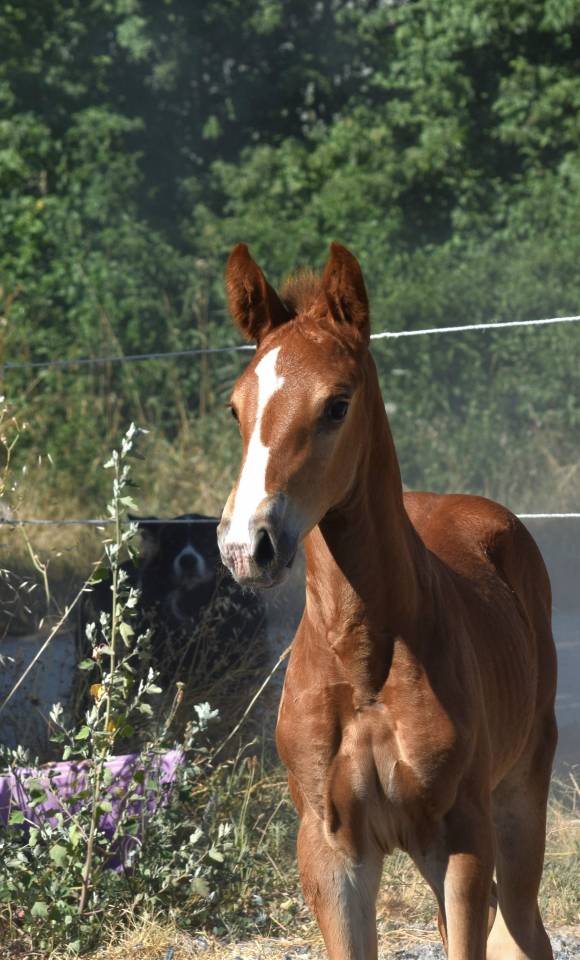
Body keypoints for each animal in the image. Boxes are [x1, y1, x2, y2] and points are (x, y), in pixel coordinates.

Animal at [217, 242, 557, 960]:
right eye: (235, 408)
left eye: (337, 404)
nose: (244, 547)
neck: (362, 656)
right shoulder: (330, 851)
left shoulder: (461, 843)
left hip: (519, 801)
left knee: (522, 926)